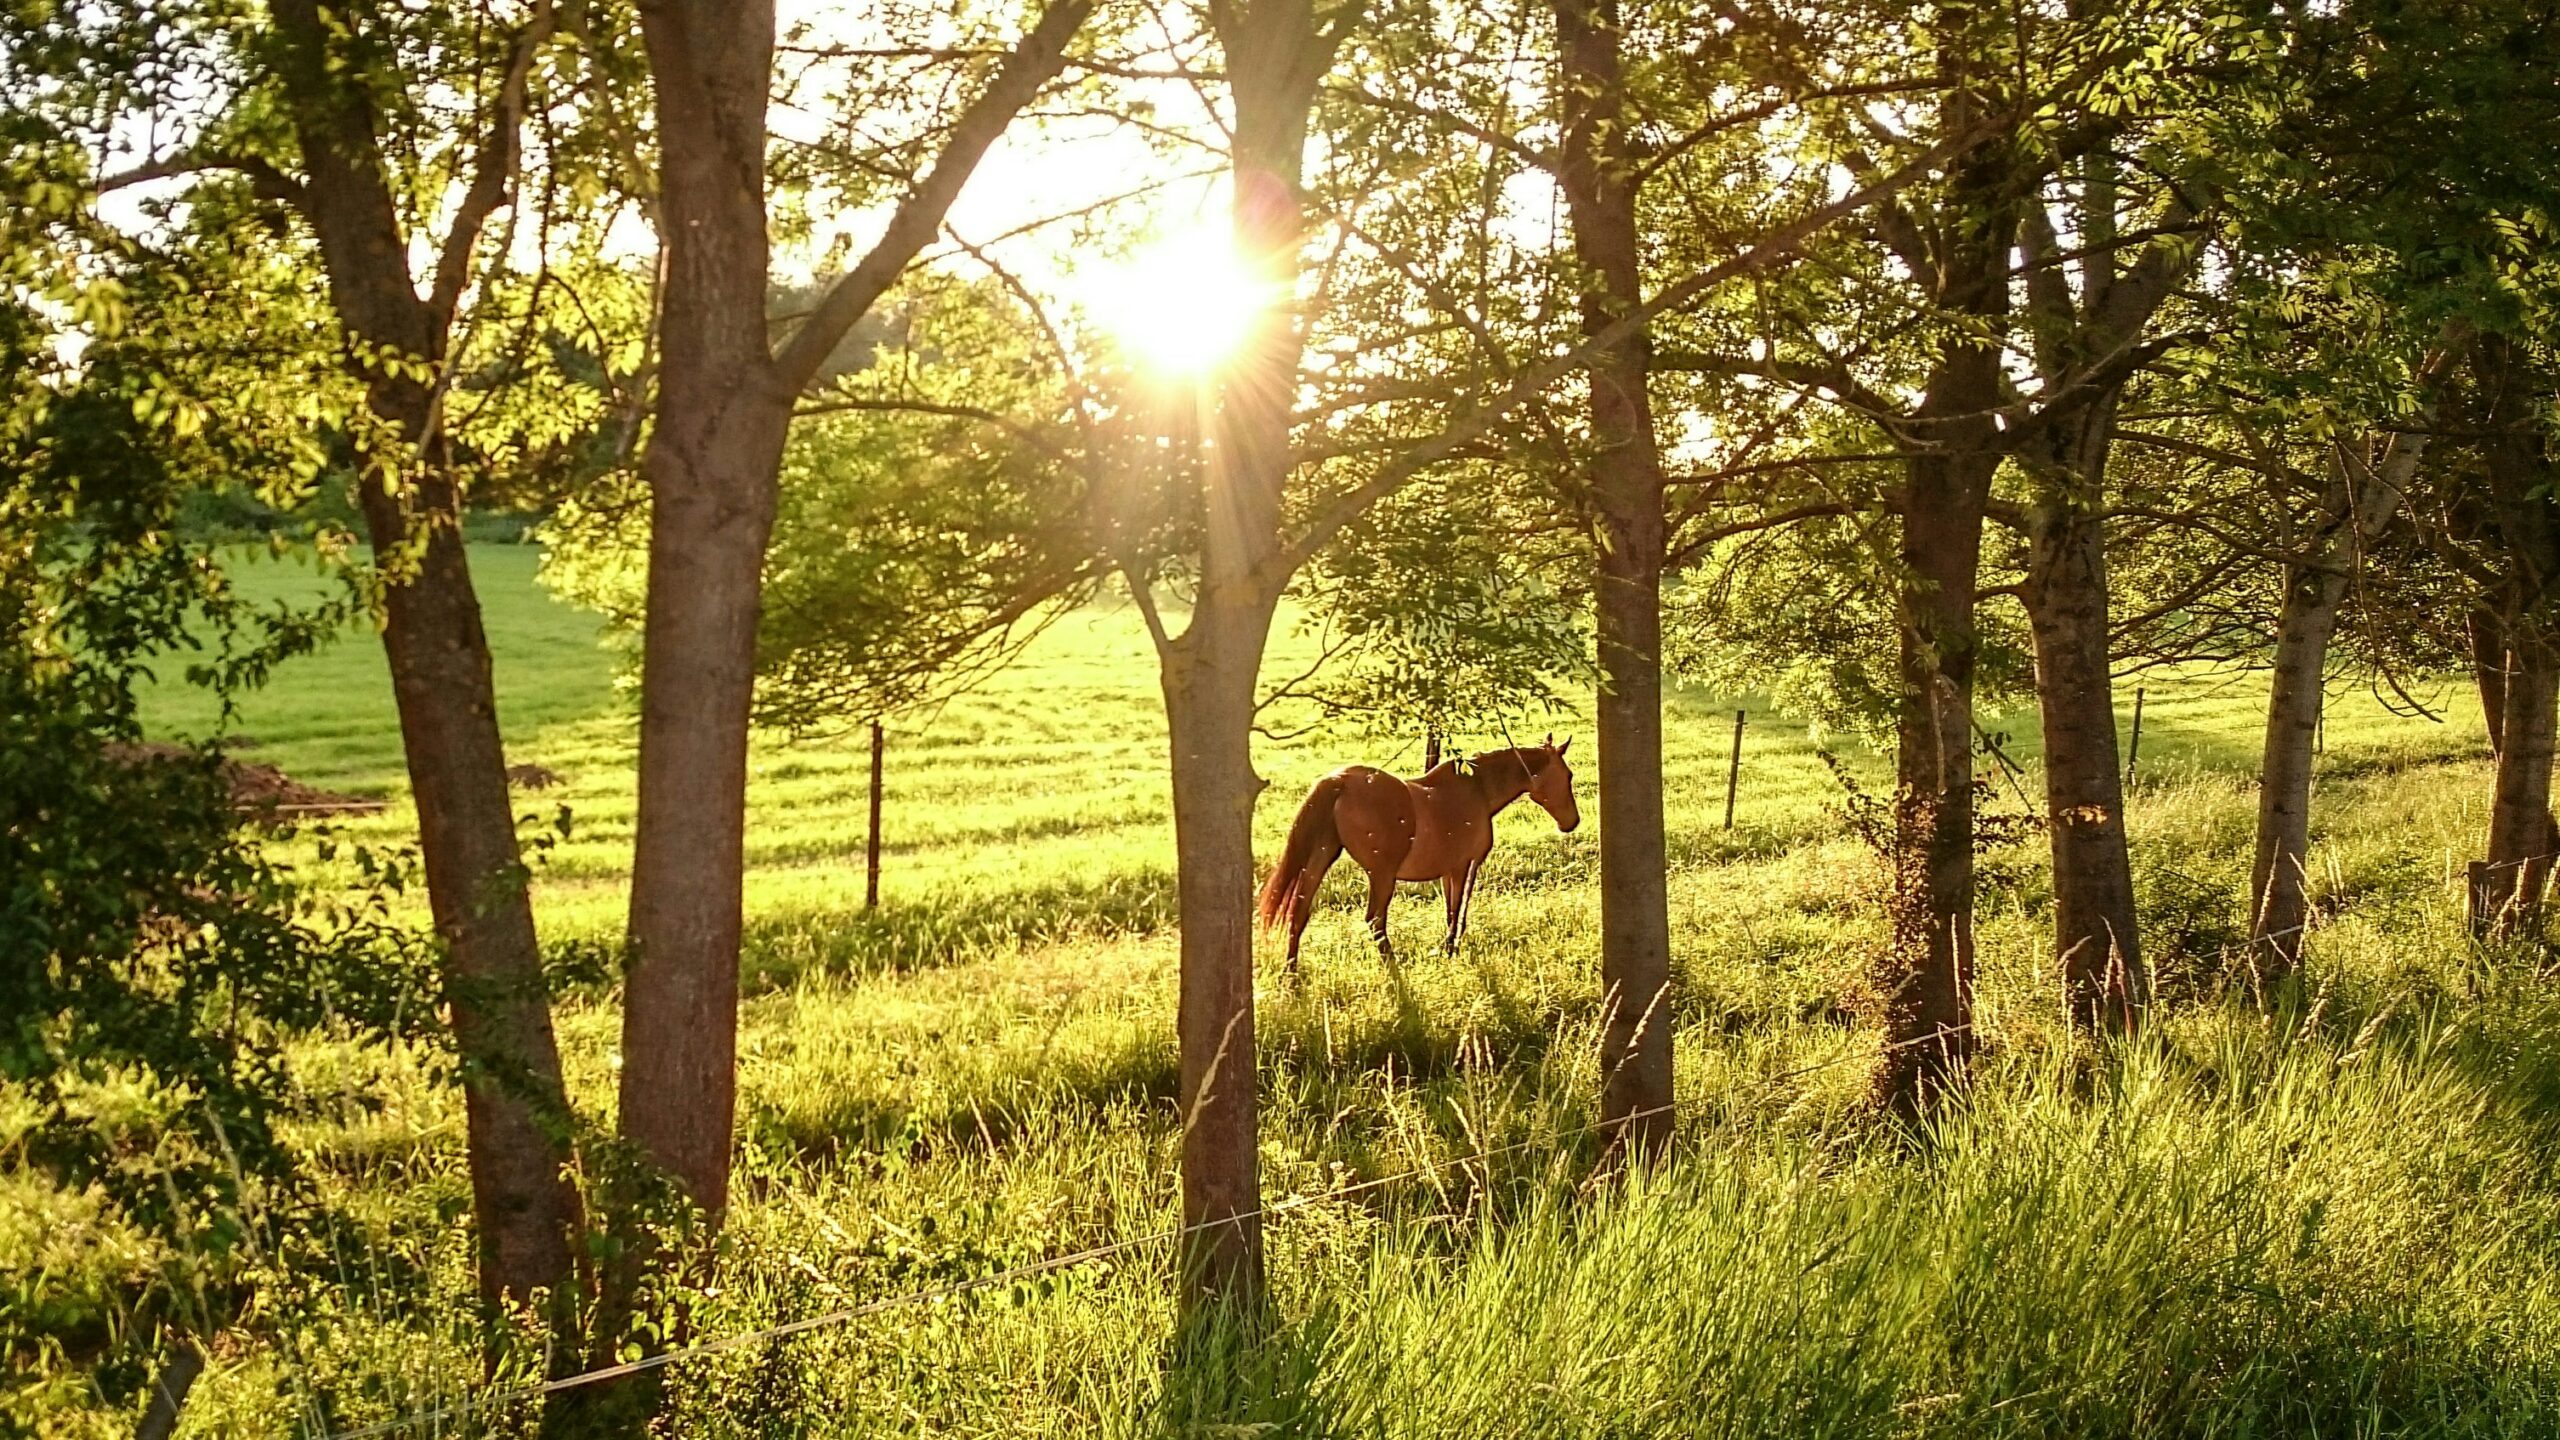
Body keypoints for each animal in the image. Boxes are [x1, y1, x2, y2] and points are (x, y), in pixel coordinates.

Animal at [1255, 735, 1580, 974]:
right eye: (1568, 775)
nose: (1572, 822)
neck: (1478, 790)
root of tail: (1340, 781)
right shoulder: (1465, 866)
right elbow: (1457, 911)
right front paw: (1451, 950)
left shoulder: (1450, 871)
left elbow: (1451, 910)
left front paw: (1448, 949)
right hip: (1381, 874)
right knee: (1375, 920)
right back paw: (1392, 964)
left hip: (1320, 858)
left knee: (1299, 912)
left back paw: (1291, 974)